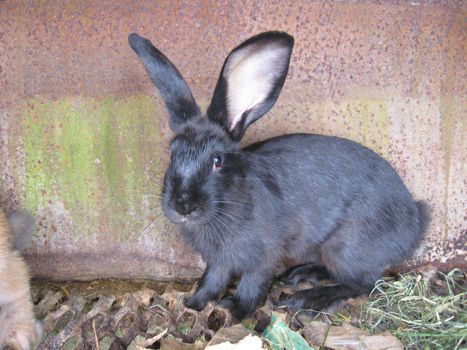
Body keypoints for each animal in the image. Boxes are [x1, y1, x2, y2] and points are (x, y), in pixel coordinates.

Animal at [128, 31, 428, 322]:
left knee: (363, 284)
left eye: (218, 160)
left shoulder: (263, 256)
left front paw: (233, 309)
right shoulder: (219, 261)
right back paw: (300, 275)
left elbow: (252, 282)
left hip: (345, 247)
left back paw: (308, 298)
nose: (182, 205)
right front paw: (194, 302)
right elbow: (212, 279)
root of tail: (415, 221)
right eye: (172, 154)